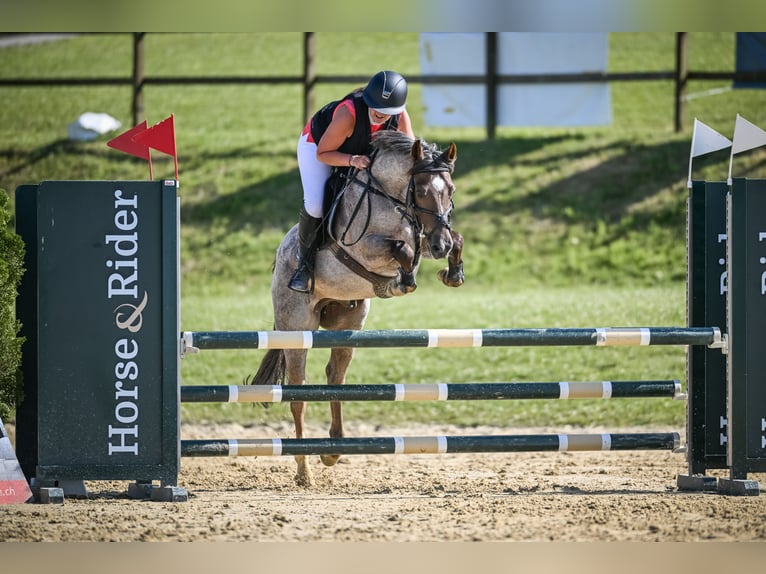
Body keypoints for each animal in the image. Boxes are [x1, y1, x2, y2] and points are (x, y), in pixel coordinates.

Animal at [252, 130, 464, 486]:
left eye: (450, 191)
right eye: (421, 190)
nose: (440, 246)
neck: (391, 199)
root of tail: (280, 259)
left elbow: (451, 239)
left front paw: (452, 271)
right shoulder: (365, 248)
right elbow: (401, 248)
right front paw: (403, 281)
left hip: (347, 324)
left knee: (335, 378)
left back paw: (333, 450)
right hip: (297, 329)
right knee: (298, 393)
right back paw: (304, 471)